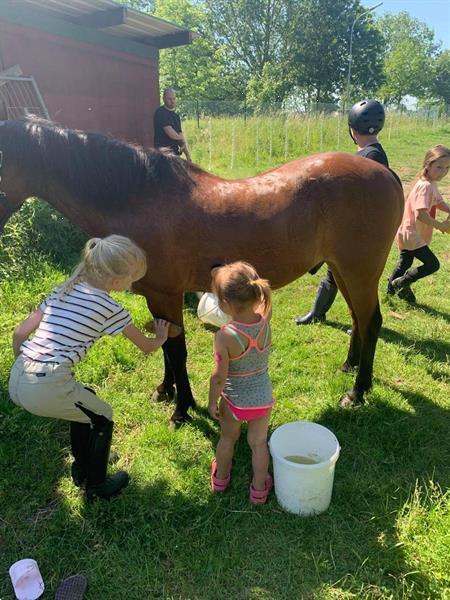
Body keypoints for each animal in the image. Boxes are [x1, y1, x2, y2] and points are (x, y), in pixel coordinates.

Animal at [0, 119, 402, 424]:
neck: (140, 198)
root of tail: (384, 172)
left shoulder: (167, 294)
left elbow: (177, 351)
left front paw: (182, 408)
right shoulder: (157, 298)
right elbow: (164, 345)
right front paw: (166, 391)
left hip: (360, 270)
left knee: (372, 321)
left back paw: (357, 391)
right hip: (343, 270)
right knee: (358, 319)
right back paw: (349, 368)